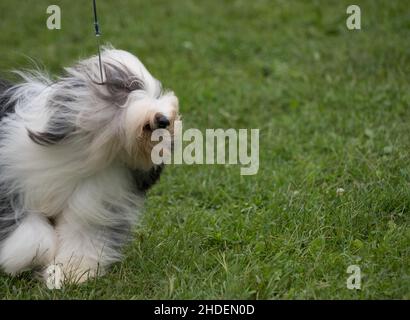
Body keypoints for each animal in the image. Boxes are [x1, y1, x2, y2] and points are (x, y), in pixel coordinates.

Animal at [0, 47, 181, 288]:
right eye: (126, 88)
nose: (163, 119)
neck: (86, 152)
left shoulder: (95, 199)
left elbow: (81, 235)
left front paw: (70, 272)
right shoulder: (10, 187)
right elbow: (30, 233)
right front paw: (29, 257)